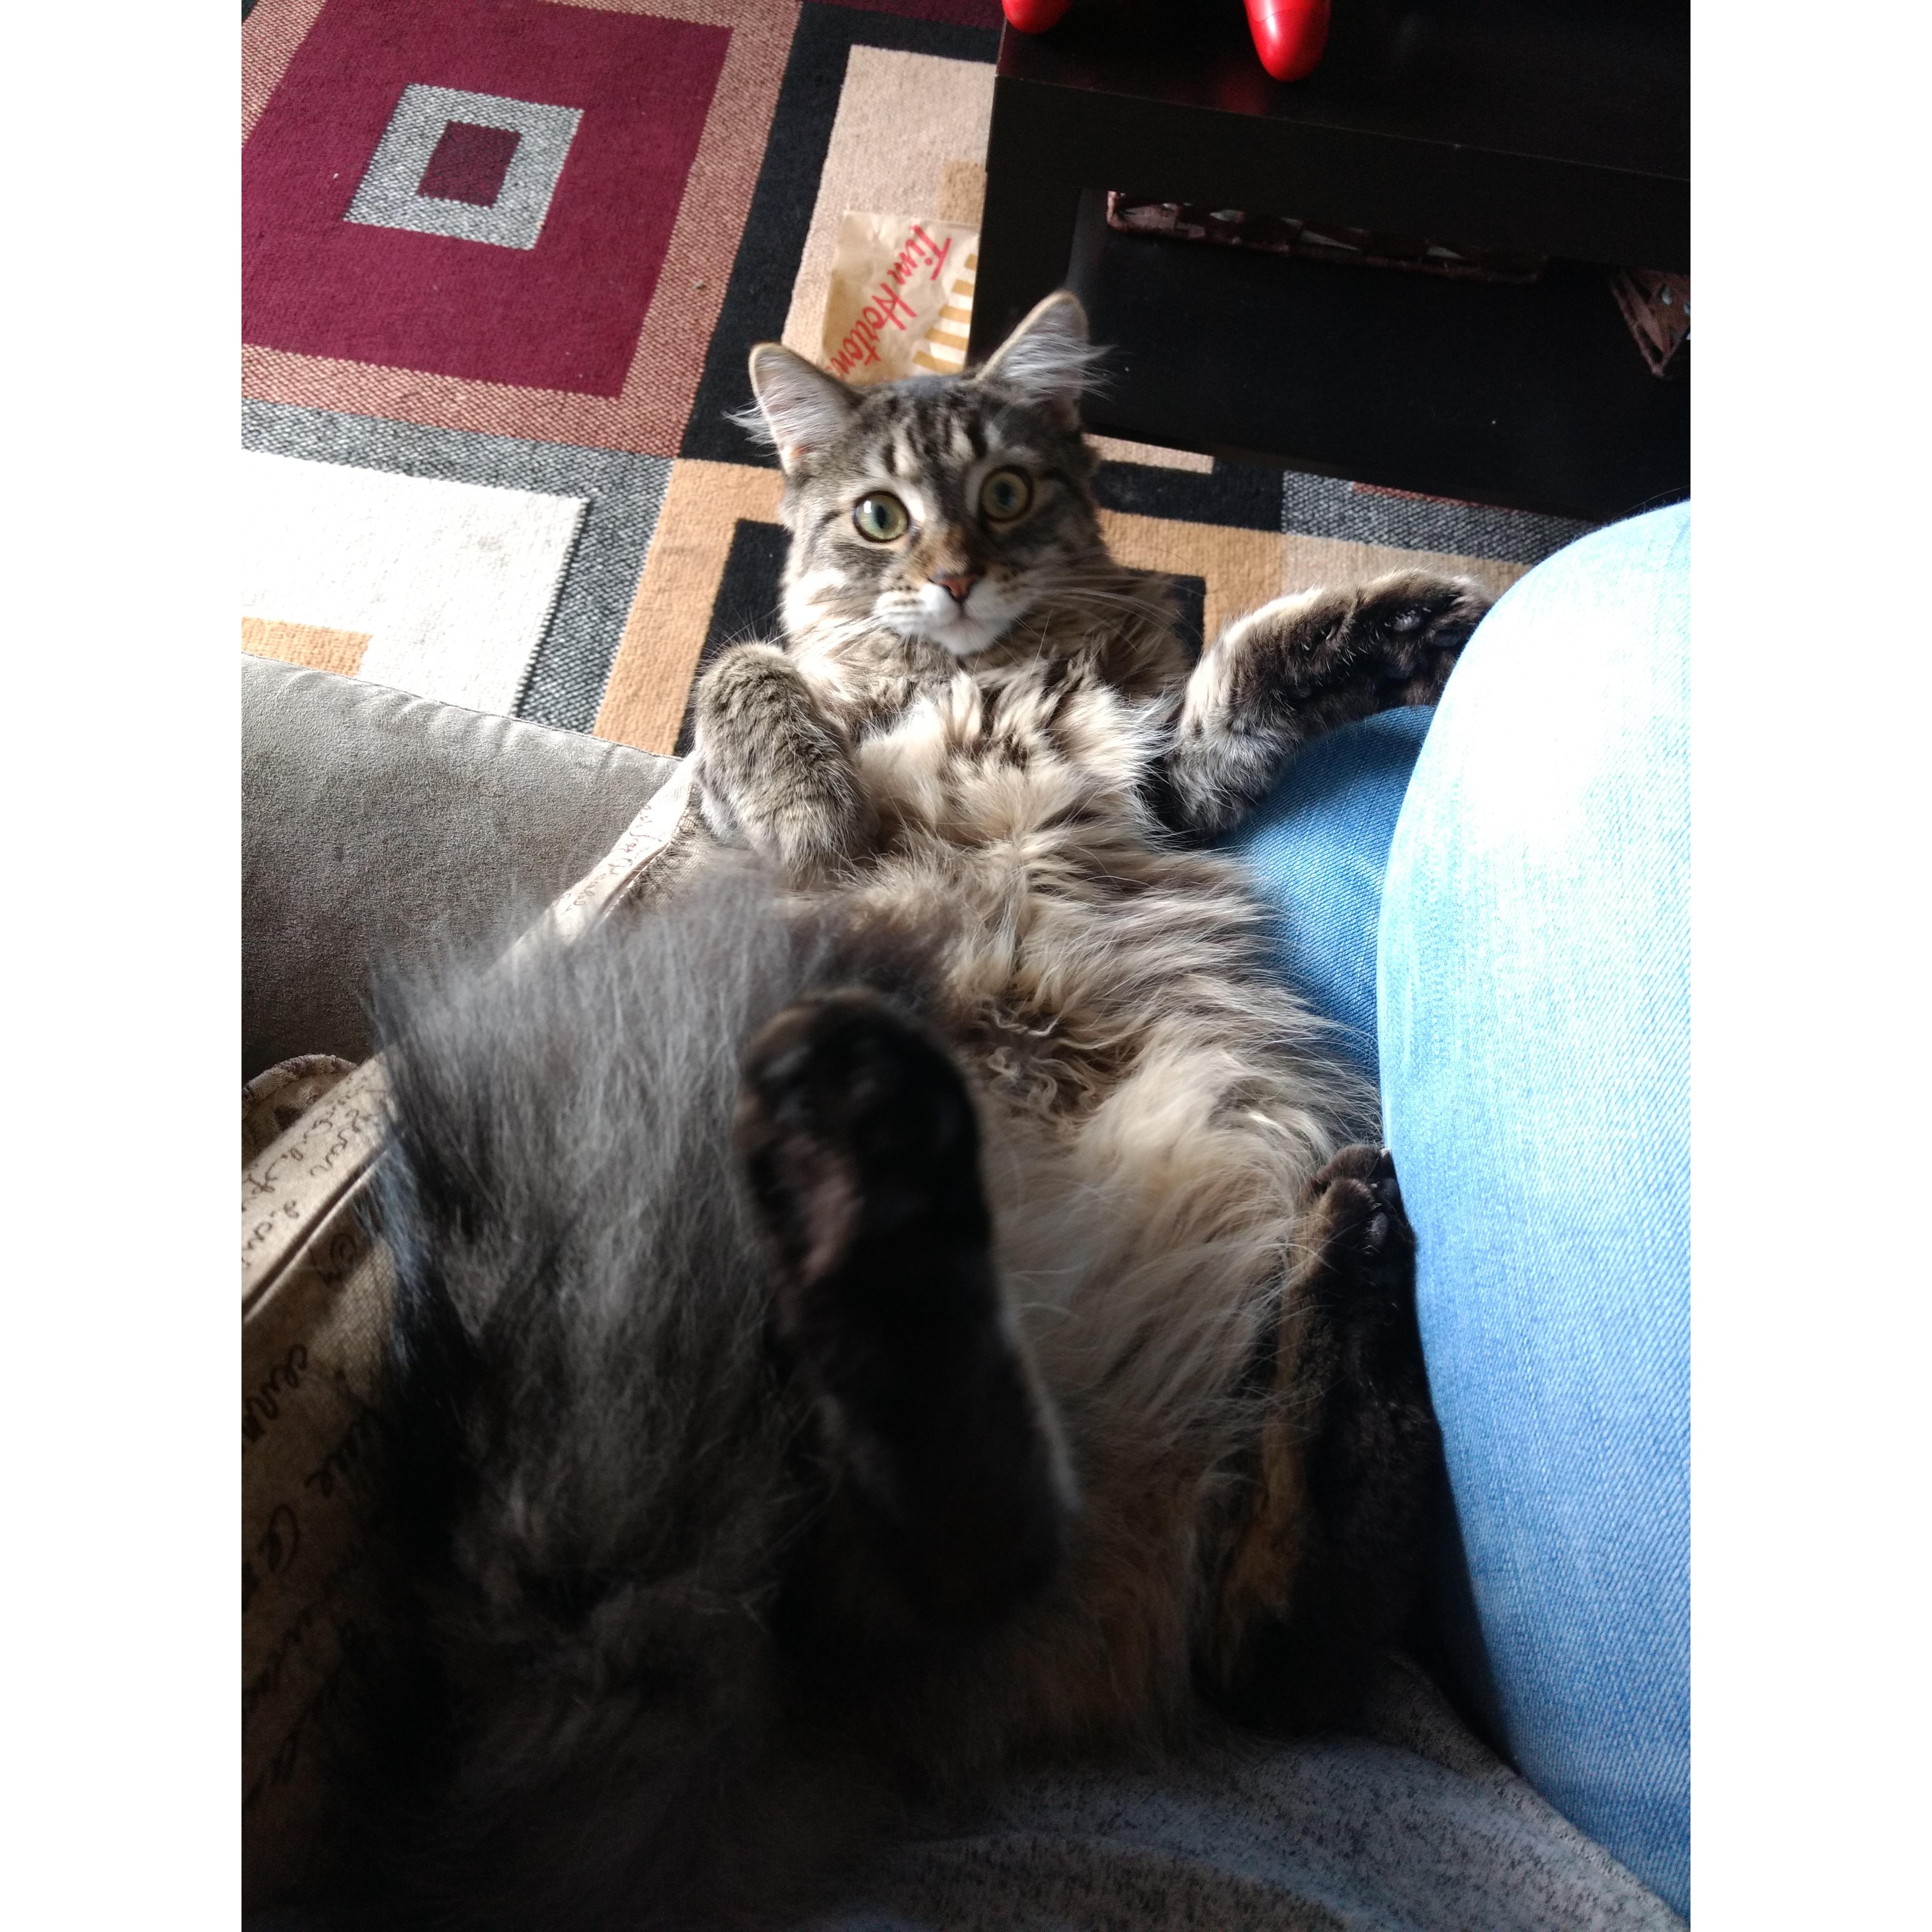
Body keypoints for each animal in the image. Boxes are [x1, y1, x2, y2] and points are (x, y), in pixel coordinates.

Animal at [357, 292, 1489, 1929]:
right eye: (882, 517)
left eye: (1005, 496)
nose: (954, 575)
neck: (971, 679)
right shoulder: (751, 776)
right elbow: (747, 673)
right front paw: (819, 798)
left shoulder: (1166, 774)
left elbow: (1243, 672)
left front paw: (1409, 626)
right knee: (1051, 1592)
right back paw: (894, 1166)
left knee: (1269, 1643)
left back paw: (1342, 1241)